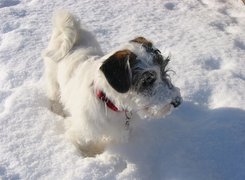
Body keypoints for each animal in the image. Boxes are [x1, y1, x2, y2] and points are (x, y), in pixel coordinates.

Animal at [41, 10, 182, 156]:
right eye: (147, 80)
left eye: (164, 70)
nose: (177, 102)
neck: (109, 103)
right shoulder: (82, 131)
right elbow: (84, 144)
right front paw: (89, 155)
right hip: (53, 80)